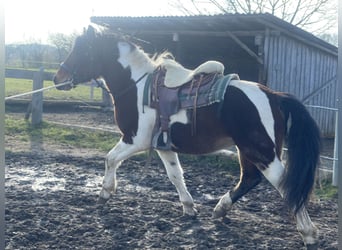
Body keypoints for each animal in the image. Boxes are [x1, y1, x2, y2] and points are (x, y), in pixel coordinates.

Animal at [52, 25, 320, 248]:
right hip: (248, 151)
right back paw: (220, 209)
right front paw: (189, 208)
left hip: (261, 152)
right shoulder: (163, 146)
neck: (137, 86)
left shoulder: (134, 139)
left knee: (284, 184)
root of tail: (274, 95)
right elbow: (175, 175)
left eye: (81, 50)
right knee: (250, 179)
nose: (57, 78)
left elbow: (110, 159)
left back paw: (308, 233)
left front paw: (105, 193)